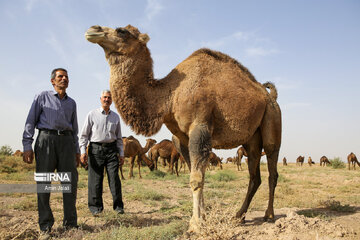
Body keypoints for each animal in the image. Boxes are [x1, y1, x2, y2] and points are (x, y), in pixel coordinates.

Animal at [85, 24, 282, 232]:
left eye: (121, 31)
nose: (93, 29)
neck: (170, 95)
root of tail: (270, 97)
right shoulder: (180, 138)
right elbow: (196, 174)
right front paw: (203, 217)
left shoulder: (200, 127)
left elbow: (196, 178)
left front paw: (195, 224)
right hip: (251, 138)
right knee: (254, 176)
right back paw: (239, 216)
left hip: (272, 117)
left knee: (272, 167)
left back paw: (269, 215)